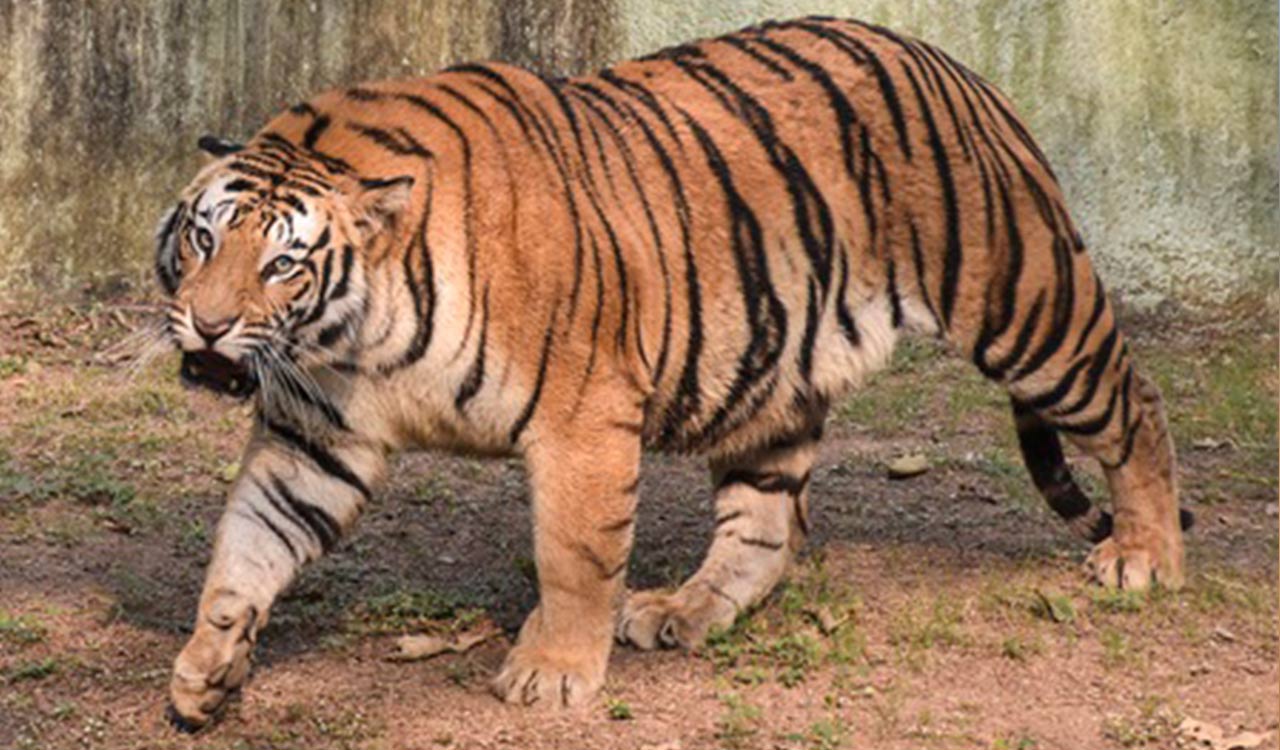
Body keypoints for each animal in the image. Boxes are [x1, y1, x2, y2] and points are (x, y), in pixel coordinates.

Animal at [154, 16, 1191, 730]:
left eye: (283, 263)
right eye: (202, 239)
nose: (209, 324)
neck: (351, 336)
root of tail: (958, 65)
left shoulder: (581, 417)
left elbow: (573, 554)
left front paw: (553, 671)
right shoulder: (315, 436)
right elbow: (247, 545)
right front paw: (207, 667)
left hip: (1026, 308)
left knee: (1134, 404)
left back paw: (1145, 558)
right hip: (776, 378)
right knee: (768, 524)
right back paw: (685, 611)